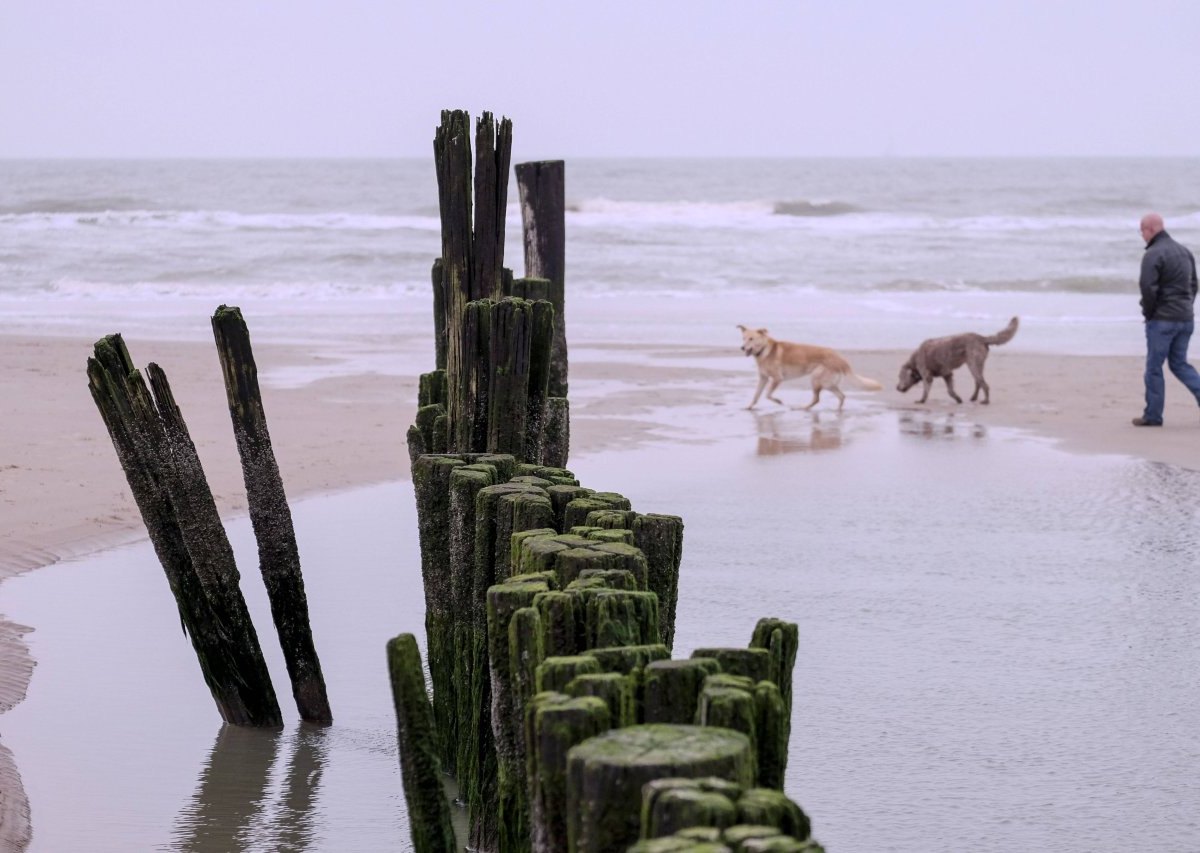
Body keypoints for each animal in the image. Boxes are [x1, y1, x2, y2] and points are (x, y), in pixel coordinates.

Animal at [739, 323, 883, 410]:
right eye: (743, 338)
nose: (742, 348)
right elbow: (756, 395)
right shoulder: (763, 378)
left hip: (815, 378)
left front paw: (779, 401)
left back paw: (802, 408)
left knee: (817, 399)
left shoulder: (777, 379)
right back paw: (837, 410)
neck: (764, 350)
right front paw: (749, 407)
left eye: (751, 339)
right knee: (841, 396)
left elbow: (767, 394)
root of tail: (840, 358)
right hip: (828, 384)